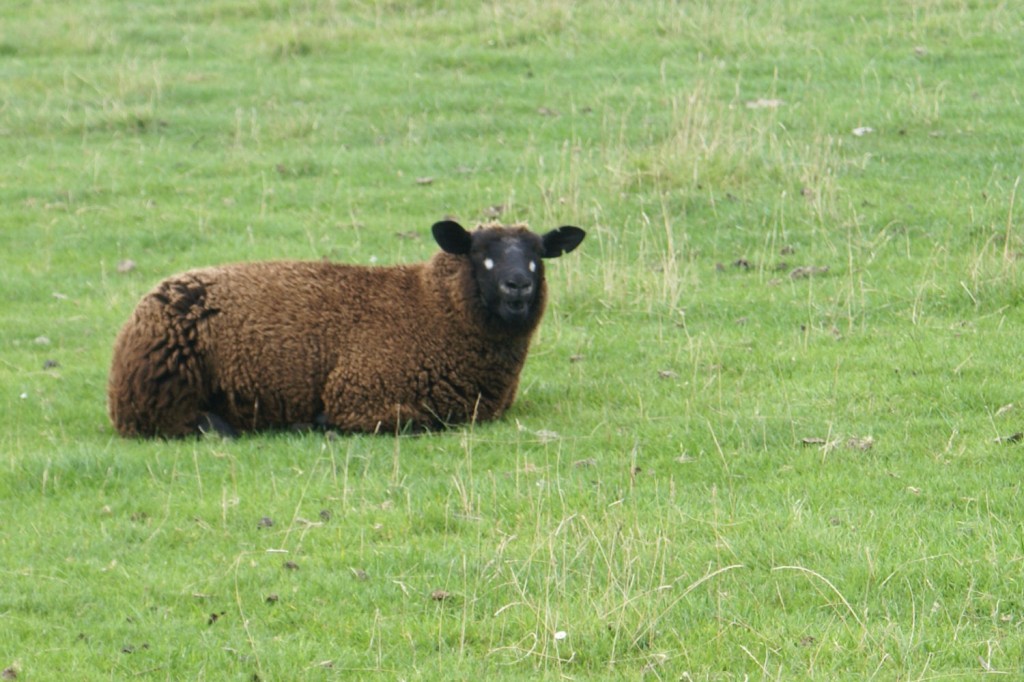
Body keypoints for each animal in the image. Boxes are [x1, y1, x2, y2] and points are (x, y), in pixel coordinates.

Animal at [105, 220, 585, 438]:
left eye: (537, 255)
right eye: (480, 254)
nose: (518, 285)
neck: (433, 309)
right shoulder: (359, 395)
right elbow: (413, 421)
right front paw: (319, 422)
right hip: (161, 397)